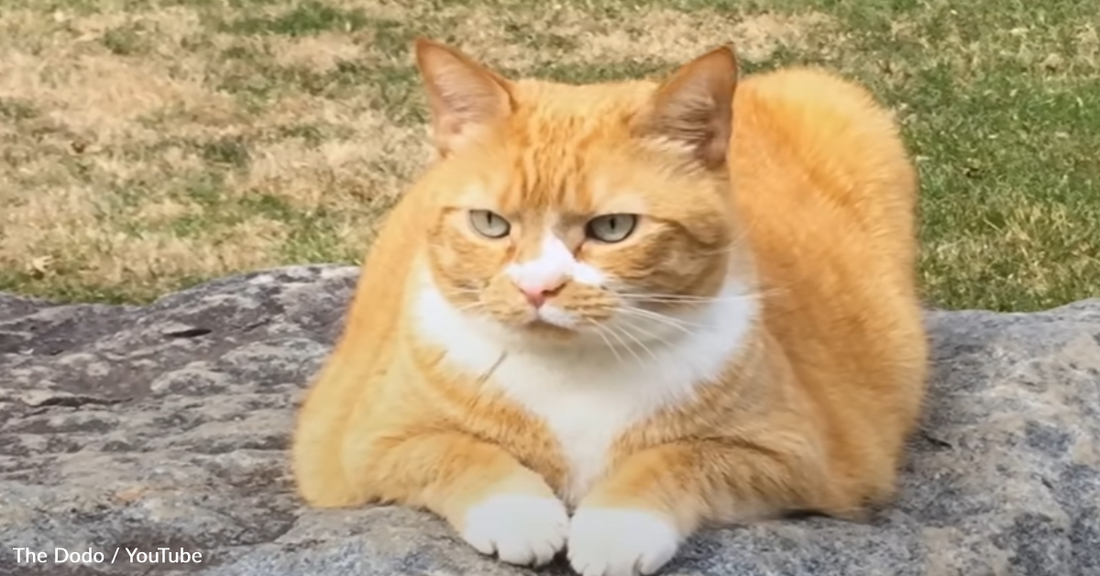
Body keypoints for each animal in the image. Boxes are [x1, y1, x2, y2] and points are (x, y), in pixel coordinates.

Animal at [290, 37, 928, 576]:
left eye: (614, 227)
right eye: (490, 223)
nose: (538, 288)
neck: (575, 372)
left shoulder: (798, 456)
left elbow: (679, 457)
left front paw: (615, 527)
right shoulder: (361, 442)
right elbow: (450, 448)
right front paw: (520, 514)